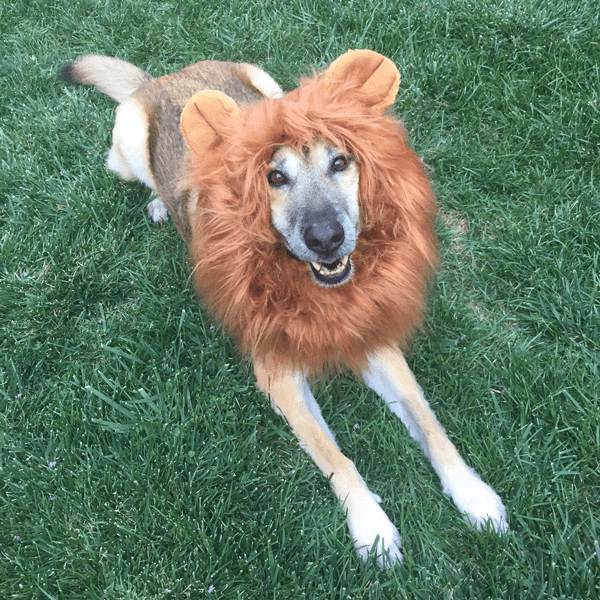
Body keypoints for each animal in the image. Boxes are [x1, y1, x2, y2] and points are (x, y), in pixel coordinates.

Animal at [59, 48, 506, 568]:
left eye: (340, 162)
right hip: (127, 145)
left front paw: (473, 494)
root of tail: (164, 79)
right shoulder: (279, 376)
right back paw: (157, 204)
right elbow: (333, 455)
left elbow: (430, 423)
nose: (326, 238)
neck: (312, 292)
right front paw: (372, 526)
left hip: (267, 84)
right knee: (144, 178)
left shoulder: (374, 342)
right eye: (274, 177)